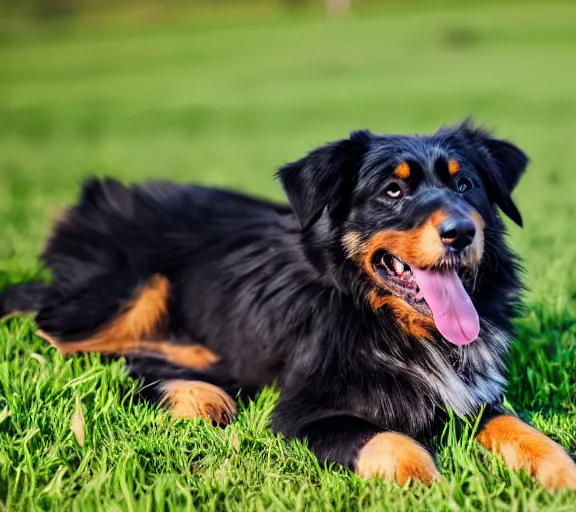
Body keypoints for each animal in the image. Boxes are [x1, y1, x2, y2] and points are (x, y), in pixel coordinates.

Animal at [1, 121, 576, 492]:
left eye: (466, 184)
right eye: (392, 191)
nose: (461, 232)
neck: (382, 318)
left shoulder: (467, 394)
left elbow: (523, 430)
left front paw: (563, 474)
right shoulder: (303, 414)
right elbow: (393, 441)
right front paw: (431, 486)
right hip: (126, 292)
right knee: (65, 339)